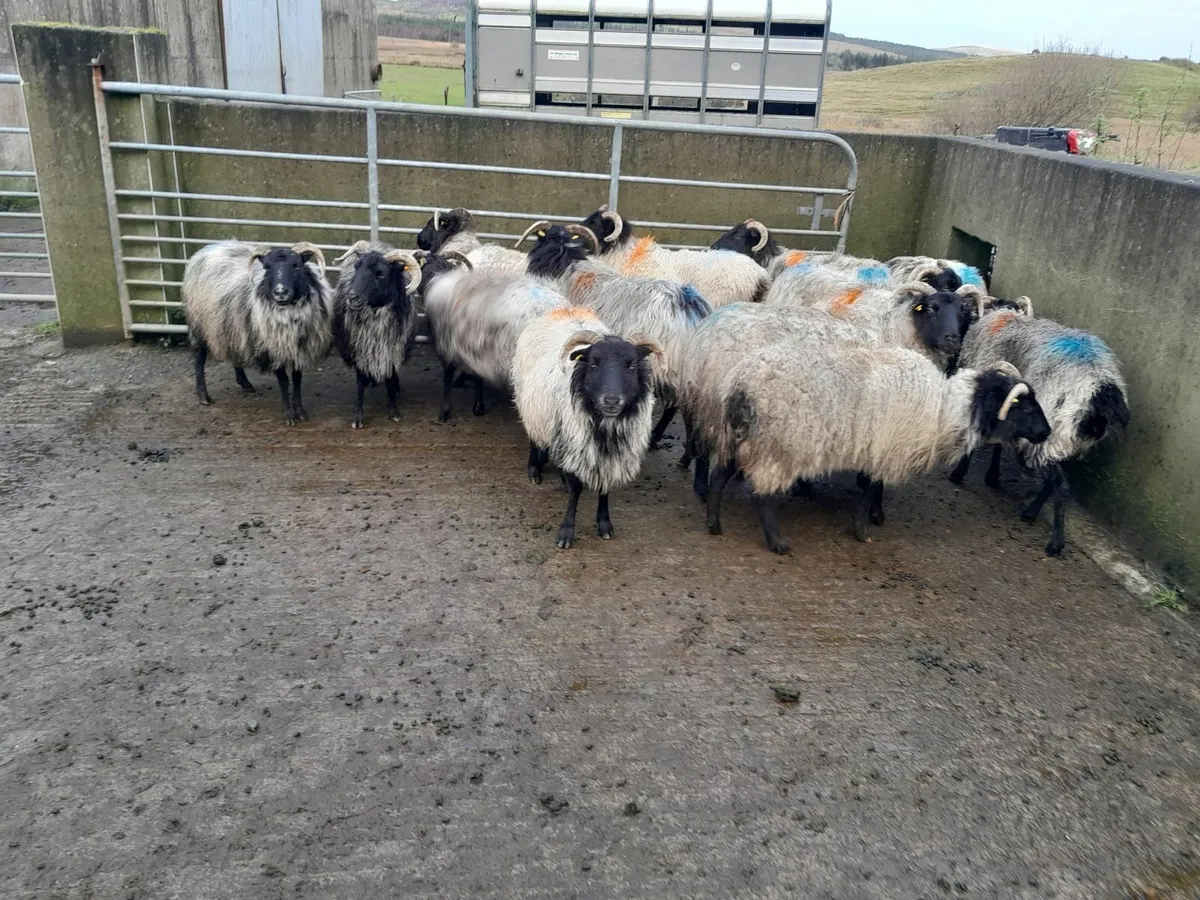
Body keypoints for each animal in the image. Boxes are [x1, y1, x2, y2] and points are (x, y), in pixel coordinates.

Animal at [182, 240, 332, 425]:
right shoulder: (271, 348)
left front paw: (301, 411)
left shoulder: (300, 348)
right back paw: (203, 396)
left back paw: (245, 384)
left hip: (233, 326)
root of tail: (207, 248)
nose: (280, 292)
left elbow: (297, 380)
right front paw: (289, 415)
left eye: (296, 265)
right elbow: (284, 381)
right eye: (267, 267)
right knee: (199, 358)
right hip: (199, 324)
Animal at [331, 241, 423, 429]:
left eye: (381, 274)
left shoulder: (392, 349)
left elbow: (390, 379)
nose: (352, 297)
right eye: (357, 267)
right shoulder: (359, 349)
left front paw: (394, 411)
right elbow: (360, 383)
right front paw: (357, 417)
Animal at [512, 306, 664, 548]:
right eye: (593, 363)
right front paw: (566, 532)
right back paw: (533, 469)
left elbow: (605, 488)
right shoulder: (575, 441)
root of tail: (564, 309)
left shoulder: (610, 456)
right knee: (534, 436)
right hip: (531, 406)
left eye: (631, 365)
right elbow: (576, 490)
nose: (611, 400)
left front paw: (604, 524)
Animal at [678, 304, 1052, 553]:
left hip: (738, 435)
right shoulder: (884, 451)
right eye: (1025, 406)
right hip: (778, 445)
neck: (943, 409)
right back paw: (778, 542)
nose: (1046, 433)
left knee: (720, 476)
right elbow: (871, 490)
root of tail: (741, 385)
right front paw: (864, 528)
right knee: (762, 495)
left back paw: (714, 525)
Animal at [950, 307, 1130, 556]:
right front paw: (992, 475)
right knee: (1053, 481)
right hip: (1061, 440)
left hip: (1050, 433)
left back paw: (1055, 543)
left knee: (1060, 486)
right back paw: (1031, 512)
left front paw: (960, 473)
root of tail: (1103, 390)